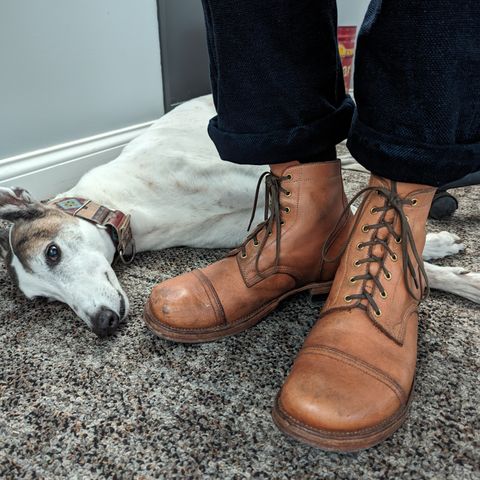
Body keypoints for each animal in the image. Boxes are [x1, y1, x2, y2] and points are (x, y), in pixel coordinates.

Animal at [0, 96, 480, 338]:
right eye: (44, 300)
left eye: (53, 252)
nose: (102, 325)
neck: (130, 203)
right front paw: (447, 261)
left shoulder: (250, 179)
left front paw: (452, 263)